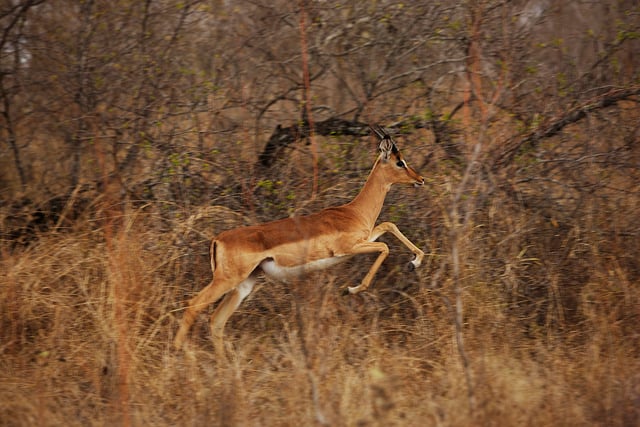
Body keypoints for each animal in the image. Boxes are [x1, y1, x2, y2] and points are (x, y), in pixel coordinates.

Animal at [174, 125, 425, 354]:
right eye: (400, 162)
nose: (421, 179)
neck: (354, 212)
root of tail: (217, 239)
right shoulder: (349, 248)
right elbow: (384, 246)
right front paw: (351, 290)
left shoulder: (366, 236)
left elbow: (388, 225)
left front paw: (415, 261)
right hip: (227, 280)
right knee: (193, 305)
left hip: (244, 284)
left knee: (216, 321)